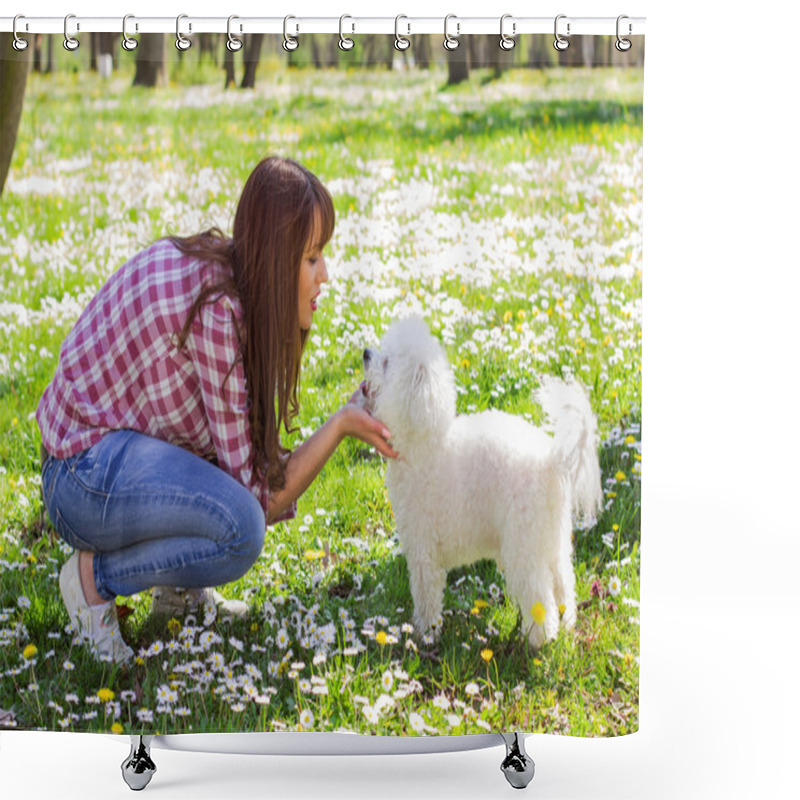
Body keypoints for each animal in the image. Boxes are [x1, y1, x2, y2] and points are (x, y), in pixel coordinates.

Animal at [360, 316, 600, 648]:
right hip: (552, 539)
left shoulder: (423, 547)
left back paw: (536, 640)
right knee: (563, 584)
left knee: (540, 596)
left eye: (386, 363)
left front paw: (425, 633)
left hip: (523, 542)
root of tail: (553, 462)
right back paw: (565, 628)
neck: (424, 440)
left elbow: (426, 594)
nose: (365, 353)